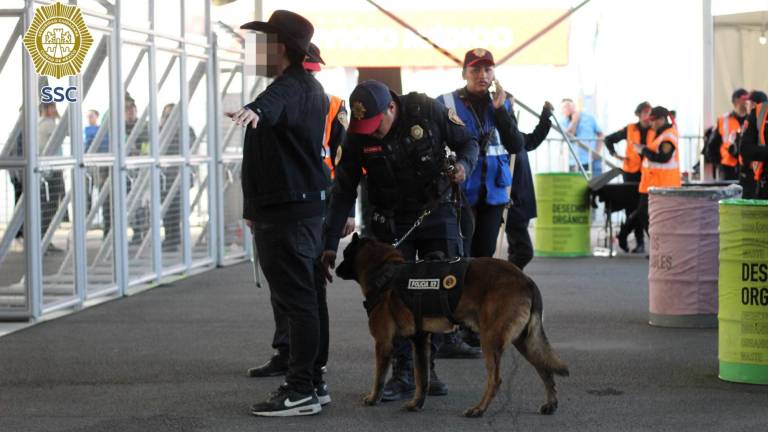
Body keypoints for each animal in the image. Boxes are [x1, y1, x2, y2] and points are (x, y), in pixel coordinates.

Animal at [336, 235, 568, 416]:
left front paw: (373, 398)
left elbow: (379, 377)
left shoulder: (383, 343)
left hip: (490, 340)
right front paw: (417, 403)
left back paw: (479, 409)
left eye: (346, 254)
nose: (335, 268)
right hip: (524, 341)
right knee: (545, 369)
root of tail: (526, 280)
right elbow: (422, 377)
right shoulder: (420, 341)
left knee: (496, 379)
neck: (385, 271)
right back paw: (551, 404)